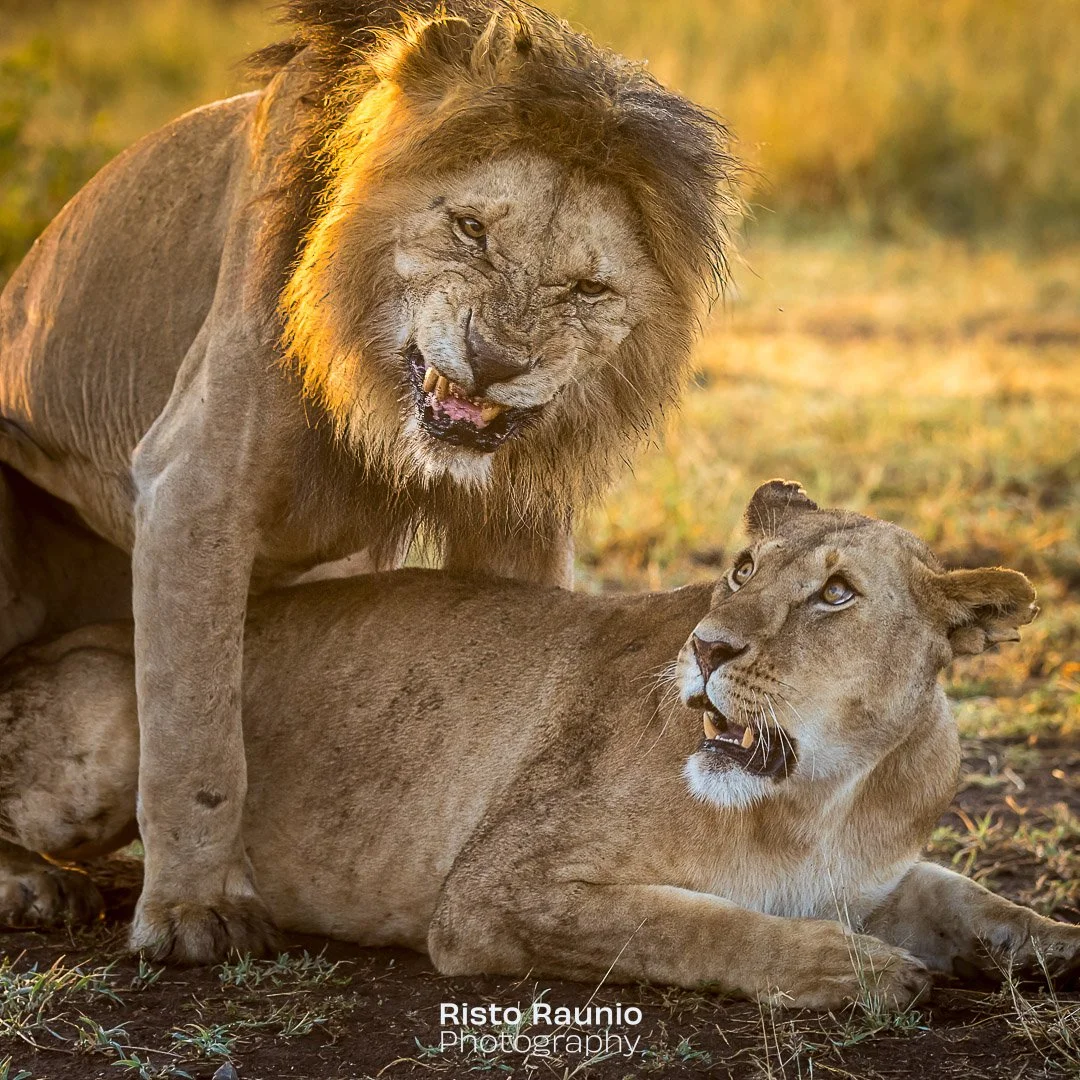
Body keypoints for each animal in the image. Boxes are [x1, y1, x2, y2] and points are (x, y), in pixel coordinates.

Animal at [0, 1, 736, 962]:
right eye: (470, 230)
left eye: (587, 288)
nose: (496, 361)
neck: (380, 386)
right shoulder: (193, 483)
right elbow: (197, 733)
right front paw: (195, 912)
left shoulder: (515, 518)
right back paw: (30, 881)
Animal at [1, 480, 1076, 1008]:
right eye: (740, 569)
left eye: (838, 594)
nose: (708, 647)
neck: (825, 794)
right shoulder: (495, 893)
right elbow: (698, 926)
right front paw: (858, 973)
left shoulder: (882, 877)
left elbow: (978, 903)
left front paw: (1054, 946)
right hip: (124, 705)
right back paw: (40, 889)